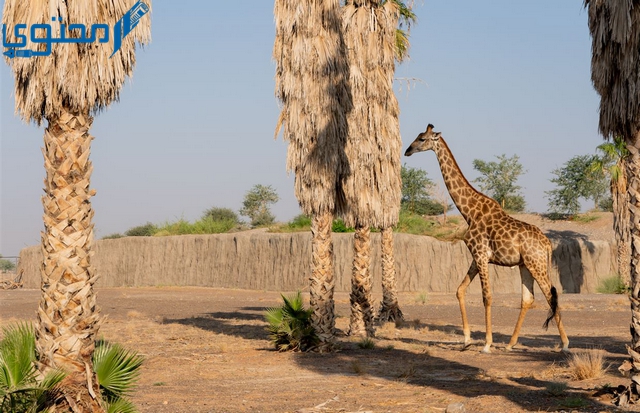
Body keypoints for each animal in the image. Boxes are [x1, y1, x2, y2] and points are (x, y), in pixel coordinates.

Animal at [404, 123, 568, 350]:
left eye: (421, 138)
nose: (407, 151)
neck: (469, 211)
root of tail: (547, 245)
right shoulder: (477, 256)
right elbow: (460, 290)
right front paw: (466, 339)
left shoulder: (481, 255)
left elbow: (487, 297)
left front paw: (487, 344)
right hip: (525, 265)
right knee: (528, 298)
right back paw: (510, 344)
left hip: (536, 263)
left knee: (549, 295)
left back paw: (565, 343)